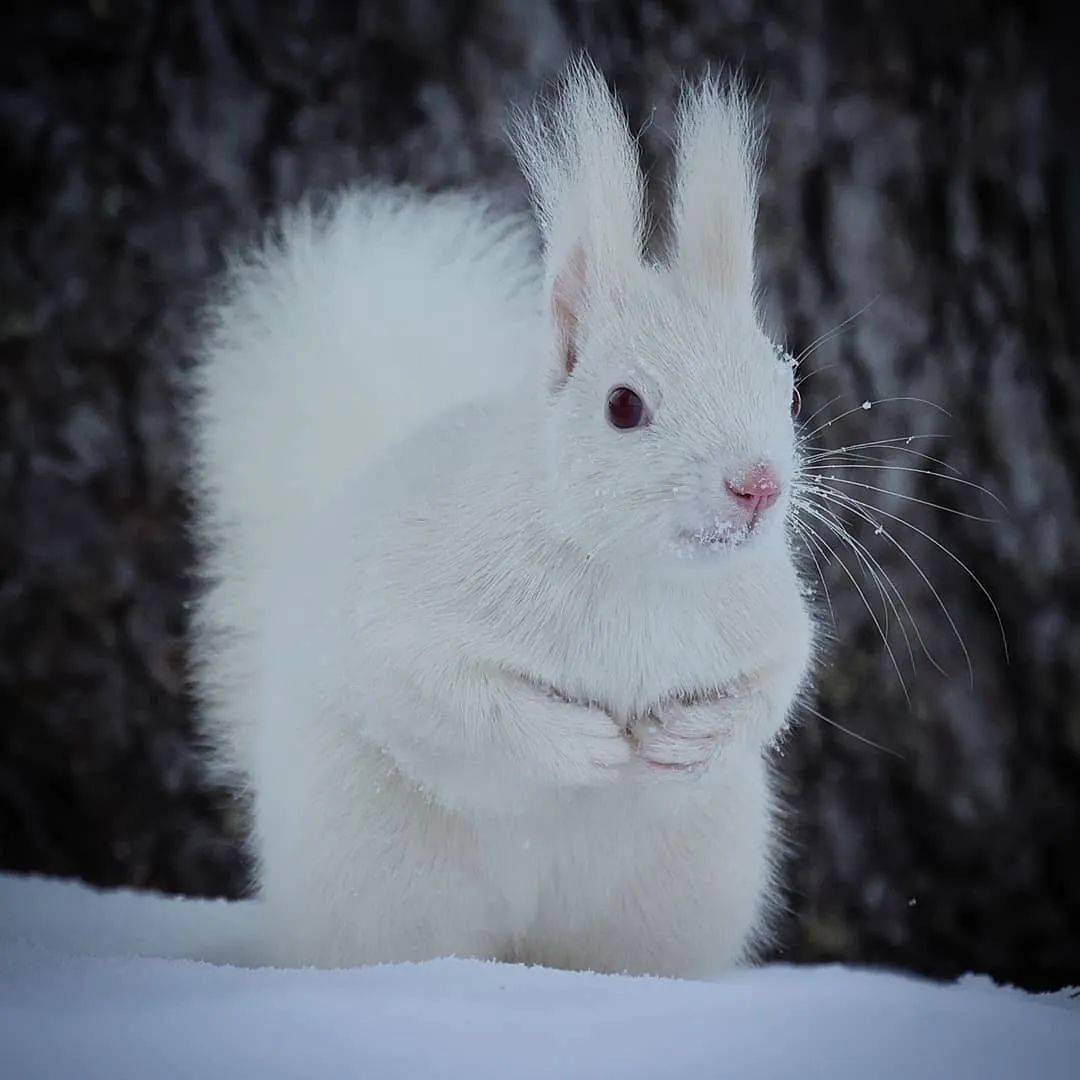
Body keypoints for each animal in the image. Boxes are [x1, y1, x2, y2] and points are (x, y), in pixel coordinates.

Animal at [194, 61, 812, 980]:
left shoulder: (764, 617)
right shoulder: (410, 620)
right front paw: (588, 747)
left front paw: (692, 737)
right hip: (380, 874)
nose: (758, 486)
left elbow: (775, 683)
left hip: (675, 893)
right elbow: (454, 701)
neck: (641, 578)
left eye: (787, 385)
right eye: (623, 406)